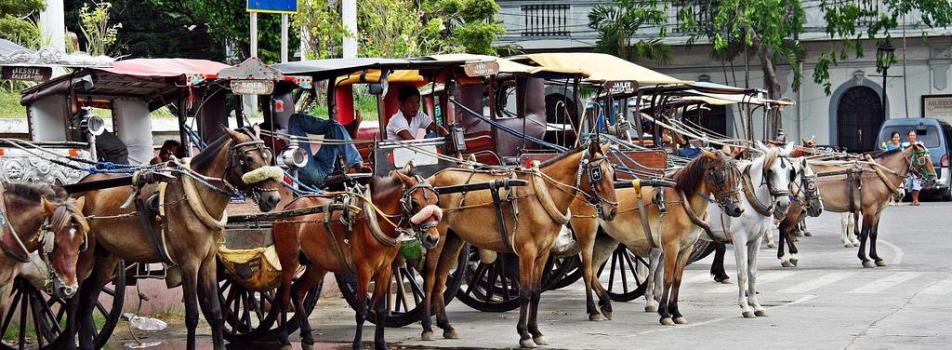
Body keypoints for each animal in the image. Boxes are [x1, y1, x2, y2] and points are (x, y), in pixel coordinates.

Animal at [69, 128, 280, 350]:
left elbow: (215, 312)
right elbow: (192, 316)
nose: (273, 199)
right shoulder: (188, 263)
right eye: (247, 158)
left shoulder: (208, 262)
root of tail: (79, 185)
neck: (195, 195)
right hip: (80, 257)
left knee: (87, 303)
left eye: (268, 156)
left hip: (106, 259)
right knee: (73, 301)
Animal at [272, 169, 442, 348]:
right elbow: (361, 311)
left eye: (435, 201)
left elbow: (381, 310)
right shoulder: (363, 271)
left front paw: (381, 343)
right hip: (289, 260)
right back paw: (284, 339)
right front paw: (358, 344)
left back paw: (307, 336)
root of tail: (287, 208)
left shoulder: (385, 269)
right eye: (414, 202)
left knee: (297, 291)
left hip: (317, 265)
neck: (374, 219)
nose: (432, 239)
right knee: (284, 297)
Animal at [422, 141, 616, 348]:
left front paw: (536, 332)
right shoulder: (526, 253)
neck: (540, 194)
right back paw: (427, 328)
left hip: (454, 239)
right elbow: (524, 293)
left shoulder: (543, 254)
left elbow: (536, 292)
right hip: (436, 237)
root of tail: (433, 179)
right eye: (597, 173)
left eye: (613, 172)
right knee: (430, 279)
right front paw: (524, 334)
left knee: (440, 278)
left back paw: (446, 325)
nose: (613, 210)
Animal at [572, 149, 744, 324]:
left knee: (592, 271)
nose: (738, 209)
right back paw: (593, 309)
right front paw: (665, 313)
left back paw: (605, 303)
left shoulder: (686, 248)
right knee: (587, 270)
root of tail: (580, 190)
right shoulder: (671, 247)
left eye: (738, 176)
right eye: (720, 175)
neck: (683, 200)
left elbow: (677, 280)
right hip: (587, 237)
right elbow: (667, 278)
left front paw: (676, 313)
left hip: (607, 241)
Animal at [708, 142, 796, 318]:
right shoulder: (739, 239)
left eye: (790, 172)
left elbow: (752, 272)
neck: (748, 198)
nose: (783, 203)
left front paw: (756, 305)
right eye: (770, 171)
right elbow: (742, 273)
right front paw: (745, 307)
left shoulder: (756, 239)